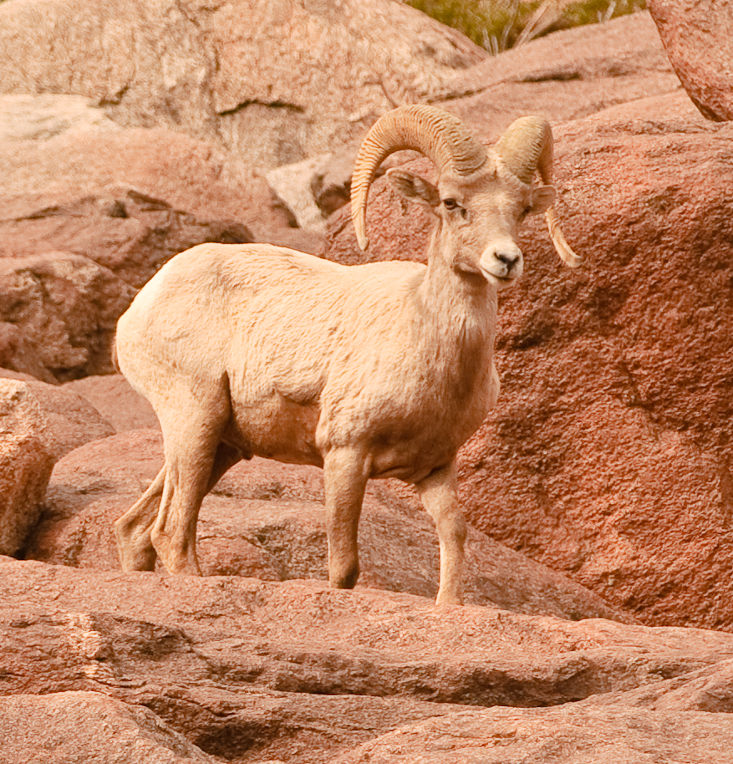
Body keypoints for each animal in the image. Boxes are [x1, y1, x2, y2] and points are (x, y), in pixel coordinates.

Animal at [113, 104, 579, 605]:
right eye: (452, 203)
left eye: (523, 208)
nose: (506, 260)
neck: (427, 341)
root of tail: (139, 307)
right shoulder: (344, 456)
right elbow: (344, 567)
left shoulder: (435, 470)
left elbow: (454, 539)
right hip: (194, 420)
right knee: (171, 532)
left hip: (222, 444)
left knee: (135, 528)